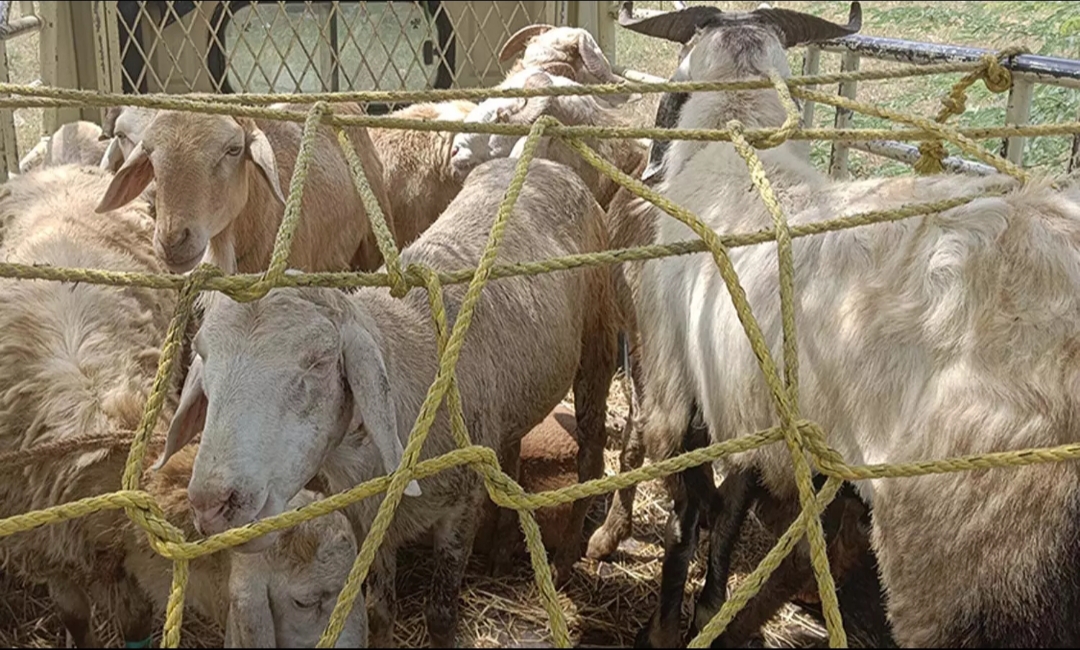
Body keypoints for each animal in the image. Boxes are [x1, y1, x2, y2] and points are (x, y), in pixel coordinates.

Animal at [0, 164, 365, 643]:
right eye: (307, 600)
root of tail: (56, 168)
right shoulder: (49, 553)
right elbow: (76, 619)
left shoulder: (121, 560)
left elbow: (134, 623)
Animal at [155, 155, 622, 643]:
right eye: (205, 355)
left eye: (319, 361)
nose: (212, 504)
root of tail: (547, 163)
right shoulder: (370, 519)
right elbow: (379, 610)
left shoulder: (461, 506)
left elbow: (440, 614)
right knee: (511, 450)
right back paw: (502, 549)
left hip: (599, 337)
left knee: (591, 455)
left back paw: (566, 560)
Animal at [617, 2, 1080, 643]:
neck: (739, 144)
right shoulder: (753, 415)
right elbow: (726, 519)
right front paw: (711, 610)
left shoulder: (674, 385)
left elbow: (684, 523)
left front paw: (664, 629)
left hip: (964, 562)